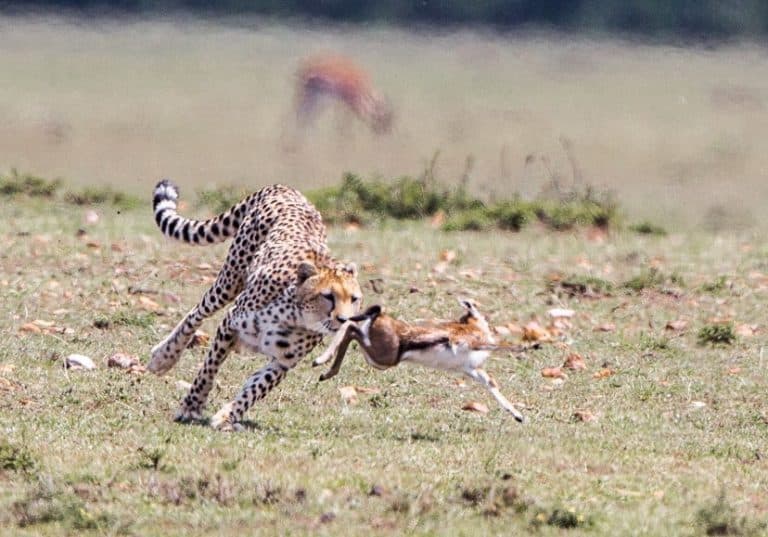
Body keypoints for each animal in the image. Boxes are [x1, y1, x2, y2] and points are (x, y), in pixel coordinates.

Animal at [312, 299, 526, 422]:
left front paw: (518, 416)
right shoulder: (471, 348)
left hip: (377, 359)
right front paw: (525, 347)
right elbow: (501, 348)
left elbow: (491, 385)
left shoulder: (470, 369)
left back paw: (324, 371)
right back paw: (320, 363)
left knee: (350, 327)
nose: (489, 323)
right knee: (350, 328)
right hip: (382, 359)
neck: (472, 328)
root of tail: (381, 315)